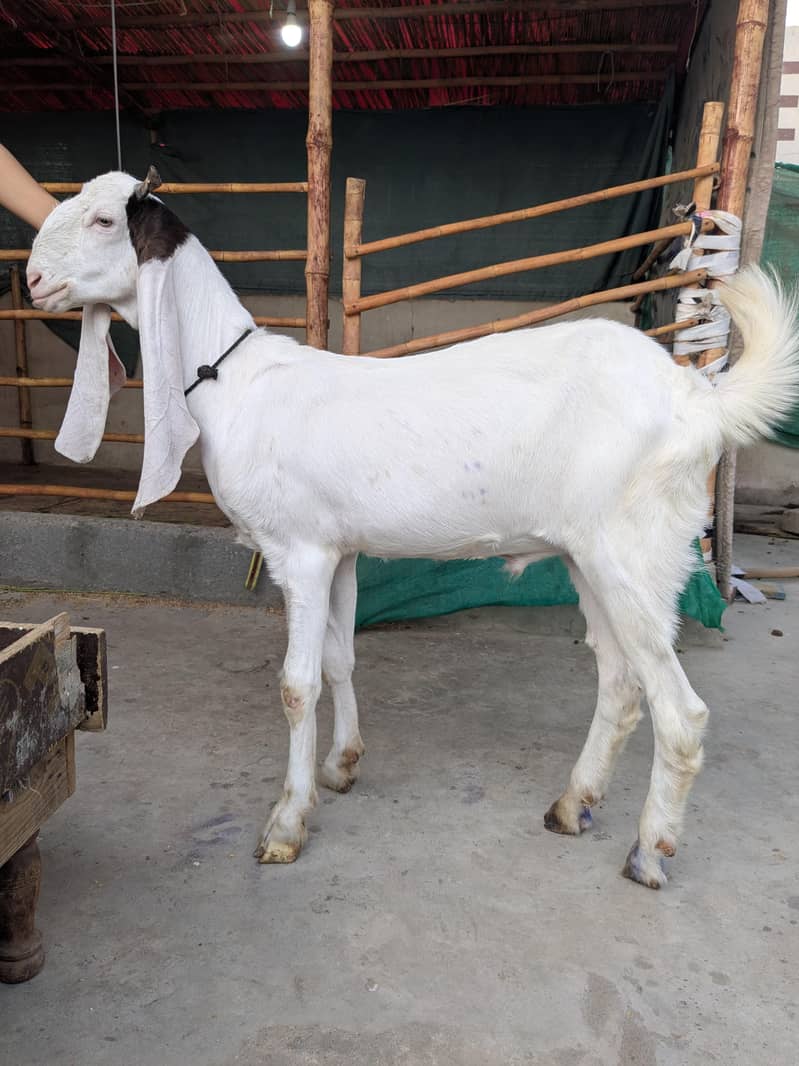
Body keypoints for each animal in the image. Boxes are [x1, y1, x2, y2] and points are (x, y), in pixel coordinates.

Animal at [27, 167, 799, 888]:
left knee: (681, 711)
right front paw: (342, 766)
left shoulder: (299, 551)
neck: (232, 377)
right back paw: (572, 805)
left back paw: (647, 850)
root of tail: (697, 398)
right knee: (620, 683)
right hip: (591, 556)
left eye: (103, 220)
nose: (32, 279)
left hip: (632, 550)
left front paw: (286, 823)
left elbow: (296, 685)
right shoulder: (337, 550)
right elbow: (339, 659)